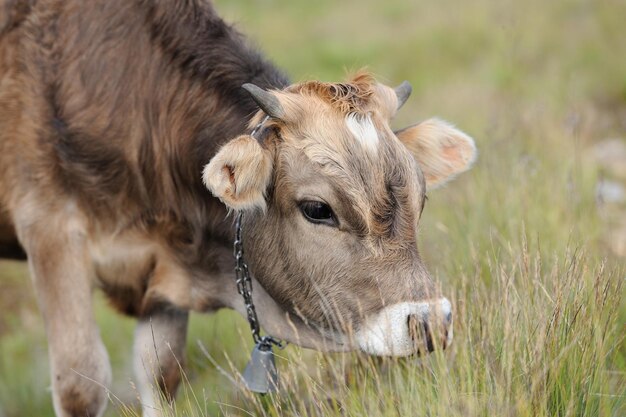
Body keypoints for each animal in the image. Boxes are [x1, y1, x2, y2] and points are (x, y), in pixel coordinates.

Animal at [0, 0, 472, 416]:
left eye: (420, 198)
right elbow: (80, 385)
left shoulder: (165, 261)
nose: (430, 321)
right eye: (317, 209)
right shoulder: (50, 231)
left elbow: (161, 373)